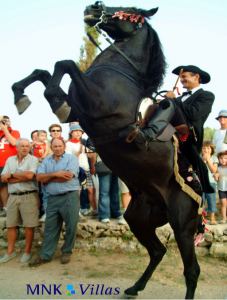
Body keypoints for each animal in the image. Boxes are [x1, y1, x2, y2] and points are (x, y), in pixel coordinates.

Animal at [12, 2, 200, 298]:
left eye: (130, 10)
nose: (94, 7)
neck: (119, 72)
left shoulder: (96, 103)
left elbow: (65, 64)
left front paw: (40, 97)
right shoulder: (78, 109)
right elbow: (44, 72)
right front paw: (20, 94)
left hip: (182, 225)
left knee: (191, 270)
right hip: (139, 220)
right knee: (157, 252)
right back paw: (135, 287)